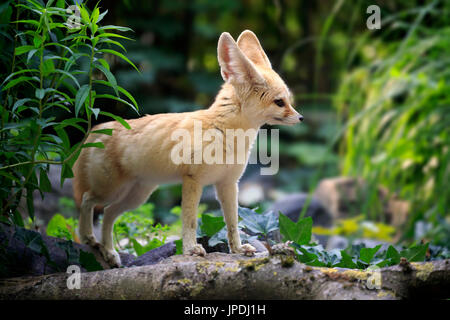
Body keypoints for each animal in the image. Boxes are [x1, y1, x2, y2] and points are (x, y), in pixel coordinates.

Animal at [73, 30, 302, 266]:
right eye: (280, 102)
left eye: (287, 100)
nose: (301, 118)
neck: (224, 134)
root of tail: (98, 128)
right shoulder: (193, 180)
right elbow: (190, 220)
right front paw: (192, 249)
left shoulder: (228, 184)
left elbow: (232, 224)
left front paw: (237, 249)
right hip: (109, 190)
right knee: (88, 201)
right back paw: (89, 238)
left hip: (136, 197)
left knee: (108, 214)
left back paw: (109, 253)